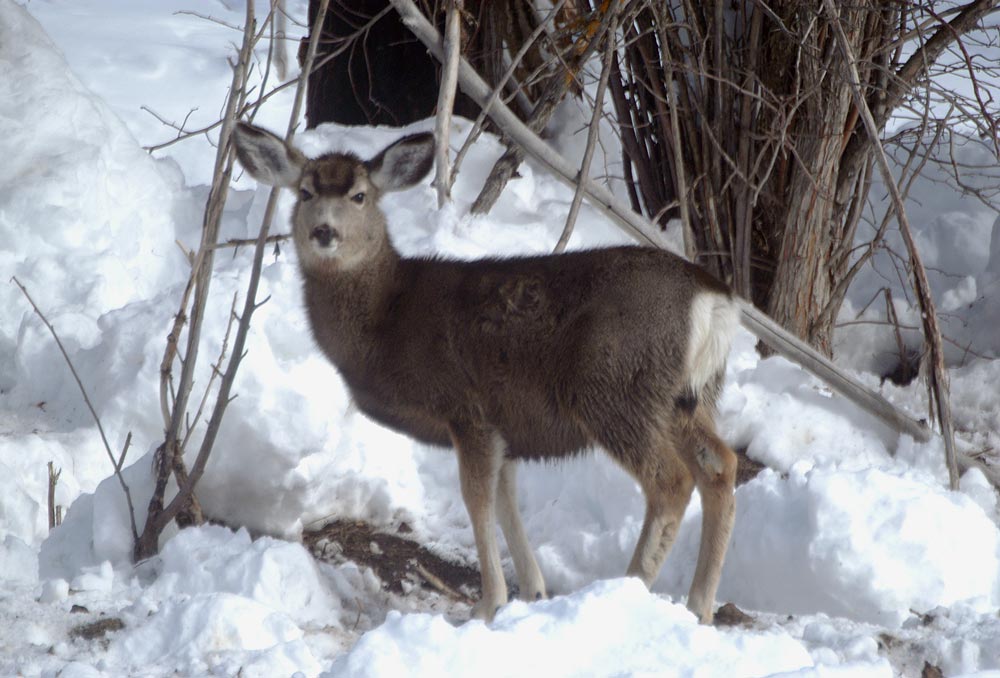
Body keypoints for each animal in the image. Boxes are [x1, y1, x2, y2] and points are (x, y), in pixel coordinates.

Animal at [230, 123, 740, 628]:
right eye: (305, 192)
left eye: (359, 195)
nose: (324, 231)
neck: (388, 317)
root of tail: (713, 300)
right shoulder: (504, 423)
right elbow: (504, 499)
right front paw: (532, 591)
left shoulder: (465, 407)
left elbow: (477, 499)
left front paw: (488, 603)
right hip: (685, 397)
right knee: (720, 463)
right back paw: (699, 605)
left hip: (615, 387)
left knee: (671, 481)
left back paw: (626, 590)